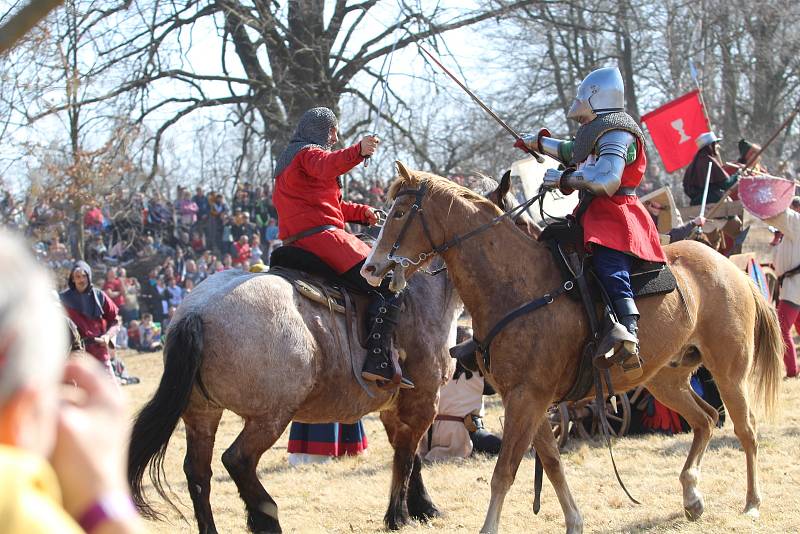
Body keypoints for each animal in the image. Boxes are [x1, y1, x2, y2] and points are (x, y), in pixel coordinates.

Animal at [127, 260, 460, 532]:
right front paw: (399, 516)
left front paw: (422, 508)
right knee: (237, 460)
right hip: (270, 417)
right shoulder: (423, 400)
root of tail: (196, 311)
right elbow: (406, 456)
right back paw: (267, 519)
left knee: (198, 473)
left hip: (202, 414)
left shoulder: (395, 407)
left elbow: (409, 455)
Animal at [362, 164, 780, 534]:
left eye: (399, 212)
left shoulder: (527, 398)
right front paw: (574, 522)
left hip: (729, 372)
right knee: (706, 420)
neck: (517, 284)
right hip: (666, 379)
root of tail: (731, 268)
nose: (371, 267)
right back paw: (693, 497)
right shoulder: (529, 400)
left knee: (746, 429)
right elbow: (551, 464)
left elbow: (504, 473)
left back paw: (753, 503)